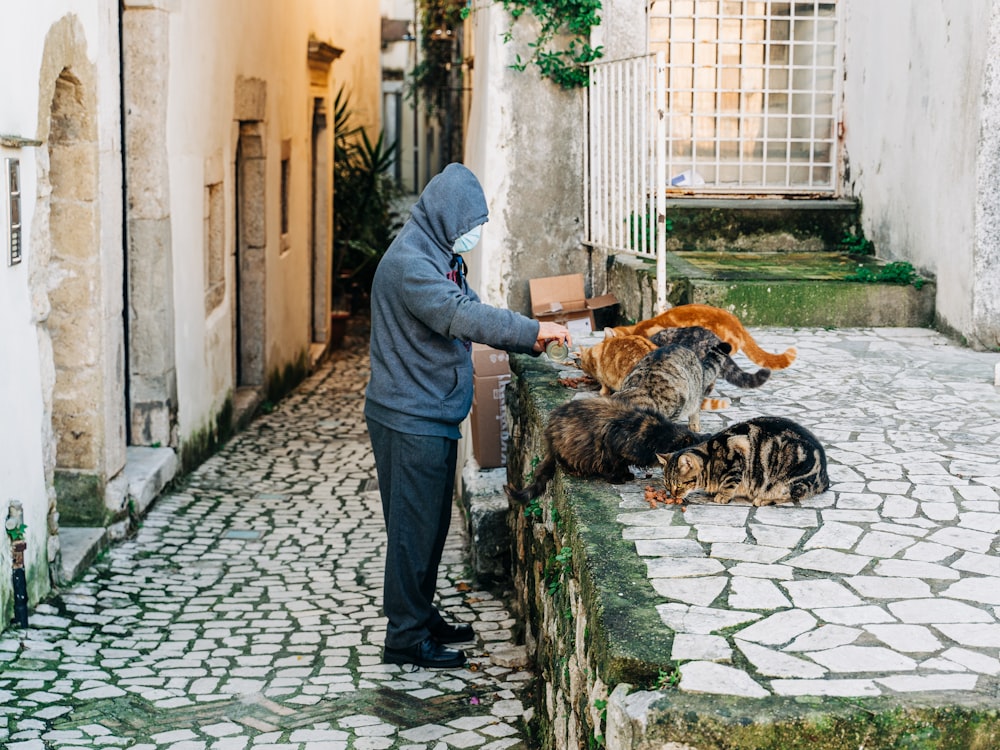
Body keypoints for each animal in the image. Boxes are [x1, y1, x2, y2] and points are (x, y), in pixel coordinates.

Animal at [656, 414, 828, 508]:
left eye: (679, 485)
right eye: (667, 485)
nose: (673, 495)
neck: (710, 459)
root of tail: (825, 477)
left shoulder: (737, 455)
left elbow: (730, 482)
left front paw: (723, 495)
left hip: (788, 481)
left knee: (792, 495)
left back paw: (763, 499)